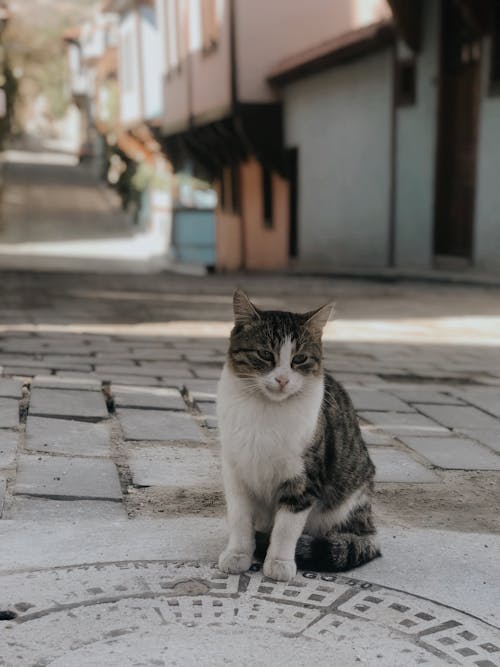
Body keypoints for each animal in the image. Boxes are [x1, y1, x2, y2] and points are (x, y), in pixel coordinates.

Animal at [217, 290, 380, 580]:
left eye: (300, 359)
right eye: (265, 354)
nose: (282, 379)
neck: (266, 411)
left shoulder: (303, 478)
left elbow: (286, 527)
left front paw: (279, 562)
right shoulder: (234, 471)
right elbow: (239, 519)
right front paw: (237, 554)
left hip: (348, 502)